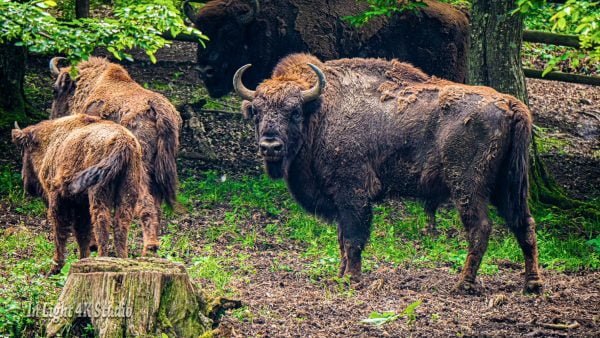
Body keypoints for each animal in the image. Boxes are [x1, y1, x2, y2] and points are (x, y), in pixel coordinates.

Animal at [11, 115, 144, 274]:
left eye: (25, 151)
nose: (27, 184)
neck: (50, 140)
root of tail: (122, 142)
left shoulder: (58, 199)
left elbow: (61, 232)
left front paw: (55, 267)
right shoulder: (81, 205)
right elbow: (82, 233)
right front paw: (82, 260)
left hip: (98, 194)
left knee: (102, 224)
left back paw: (102, 259)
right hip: (128, 192)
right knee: (121, 225)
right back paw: (122, 261)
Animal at [48, 56, 183, 254]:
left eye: (56, 90)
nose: (54, 117)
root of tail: (156, 108)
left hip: (140, 171)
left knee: (146, 204)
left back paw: (148, 248)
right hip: (158, 171)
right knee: (156, 205)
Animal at [234, 52, 544, 294]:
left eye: (295, 111)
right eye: (257, 111)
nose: (270, 146)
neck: (322, 111)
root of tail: (511, 104)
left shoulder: (352, 193)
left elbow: (353, 238)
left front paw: (352, 280)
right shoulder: (339, 200)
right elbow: (341, 239)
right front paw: (340, 276)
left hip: (468, 186)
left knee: (480, 228)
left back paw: (463, 284)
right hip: (509, 185)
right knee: (524, 224)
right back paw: (532, 284)